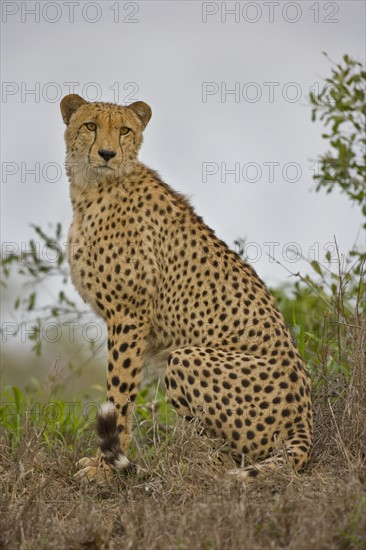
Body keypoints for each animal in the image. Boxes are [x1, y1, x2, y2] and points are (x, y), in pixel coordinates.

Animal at [61, 94, 314, 484]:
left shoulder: (129, 315)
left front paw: (105, 468)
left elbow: (119, 394)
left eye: (125, 130)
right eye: (90, 125)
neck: (93, 188)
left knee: (231, 460)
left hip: (184, 357)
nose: (106, 153)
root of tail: (305, 422)